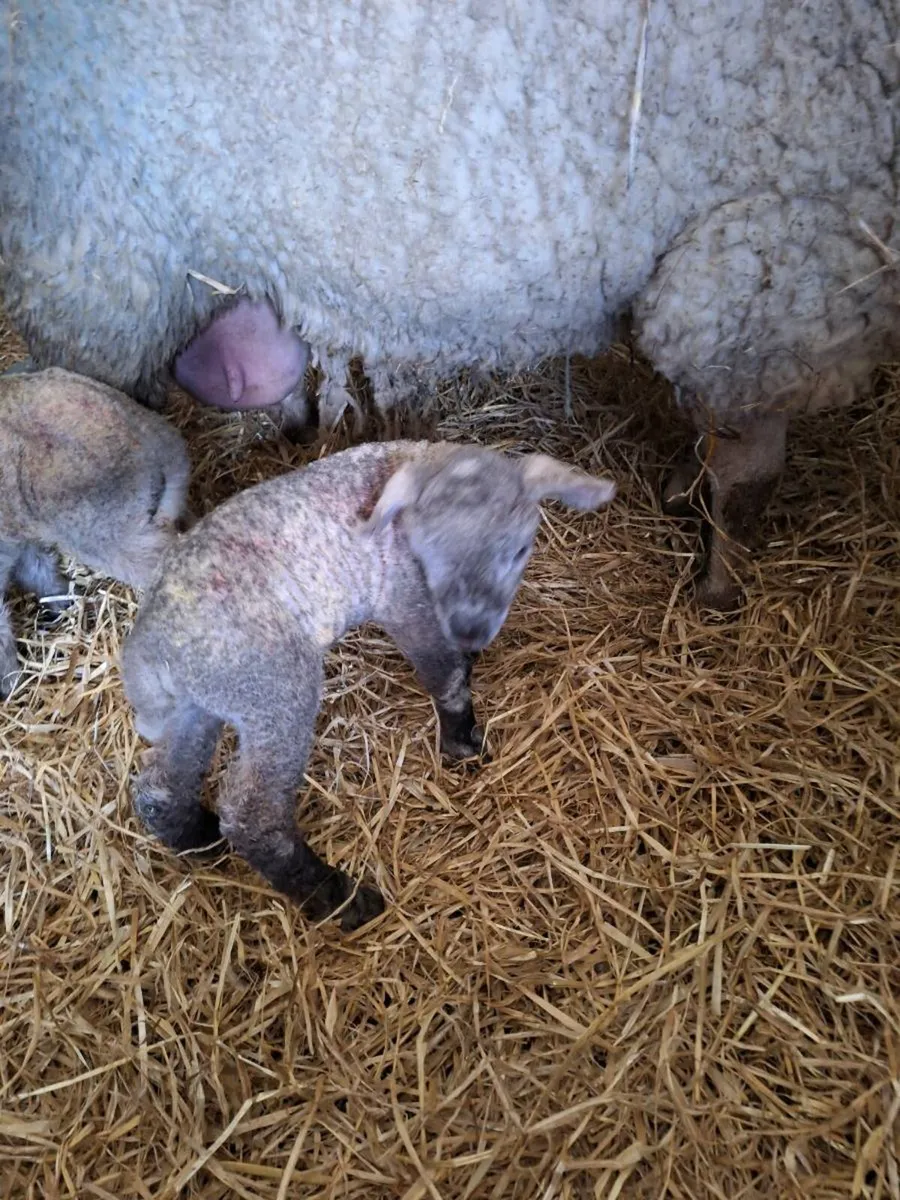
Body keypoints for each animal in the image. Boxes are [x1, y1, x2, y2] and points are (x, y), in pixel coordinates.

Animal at [120, 440, 616, 930]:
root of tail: (147, 646)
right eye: (430, 553)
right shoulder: (408, 602)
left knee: (161, 784)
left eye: (519, 550)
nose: (472, 629)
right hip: (272, 686)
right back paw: (342, 901)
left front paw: (470, 663)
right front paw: (462, 742)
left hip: (201, 700)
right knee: (252, 814)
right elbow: (445, 678)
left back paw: (196, 837)